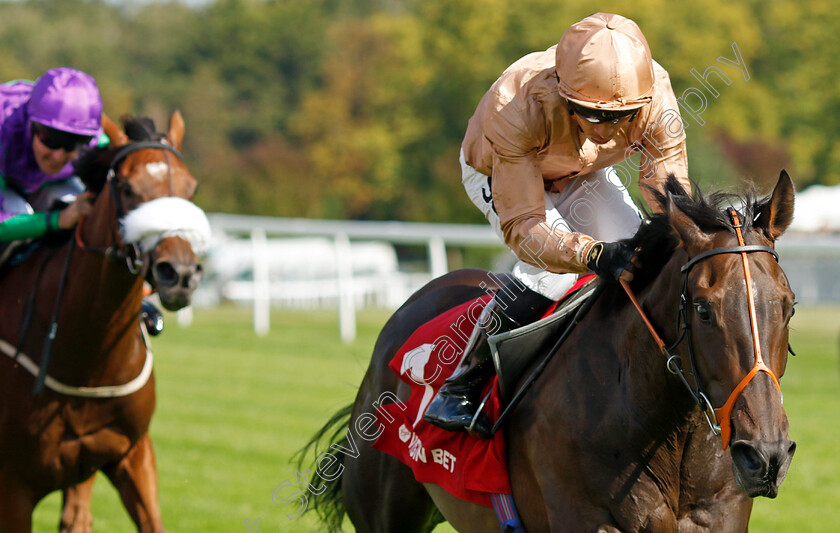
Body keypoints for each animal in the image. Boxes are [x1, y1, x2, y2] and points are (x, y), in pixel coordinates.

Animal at [0, 110, 209, 528]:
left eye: (191, 190)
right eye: (126, 188)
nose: (180, 273)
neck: (88, 360)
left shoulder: (132, 454)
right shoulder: (12, 485)